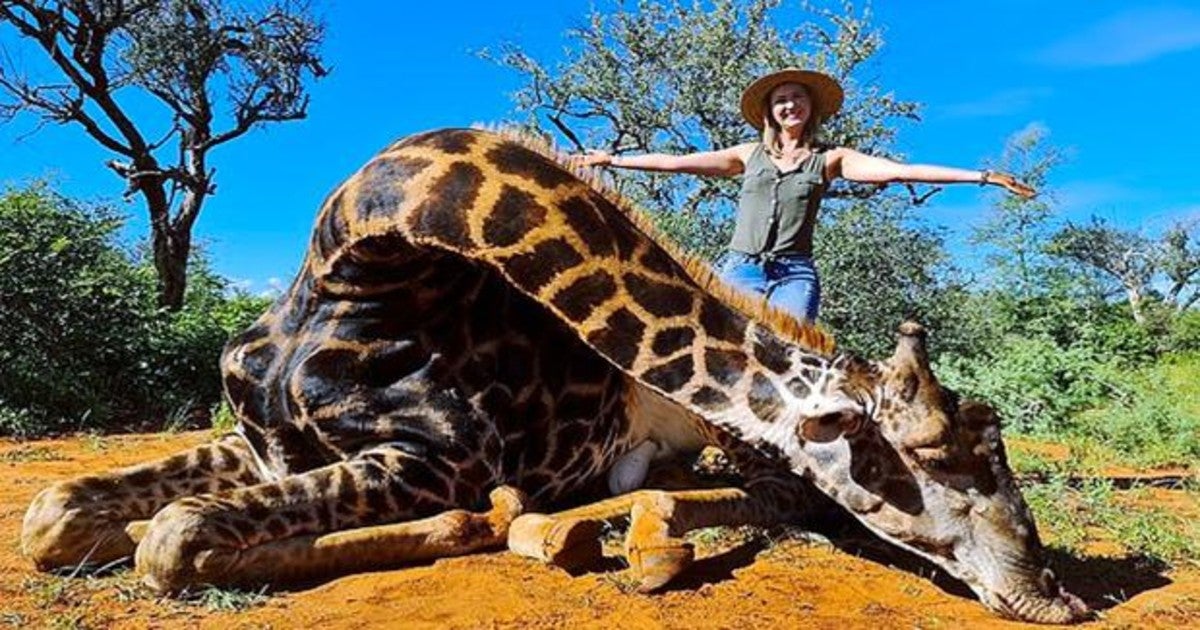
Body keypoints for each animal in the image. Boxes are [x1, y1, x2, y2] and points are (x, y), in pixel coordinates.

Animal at [21, 127, 1089, 624]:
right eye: (937, 459)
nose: (1055, 597)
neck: (353, 268)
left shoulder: (435, 460)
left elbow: (173, 541)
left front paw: (477, 525)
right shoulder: (261, 442)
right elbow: (55, 516)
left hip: (725, 451)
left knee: (765, 499)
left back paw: (610, 536)